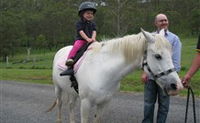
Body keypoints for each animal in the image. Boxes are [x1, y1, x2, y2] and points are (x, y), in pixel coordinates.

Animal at [48, 28, 183, 122]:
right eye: (158, 56)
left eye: (171, 54)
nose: (176, 85)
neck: (102, 70)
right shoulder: (86, 103)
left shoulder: (104, 103)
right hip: (58, 89)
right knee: (60, 104)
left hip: (72, 92)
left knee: (71, 106)